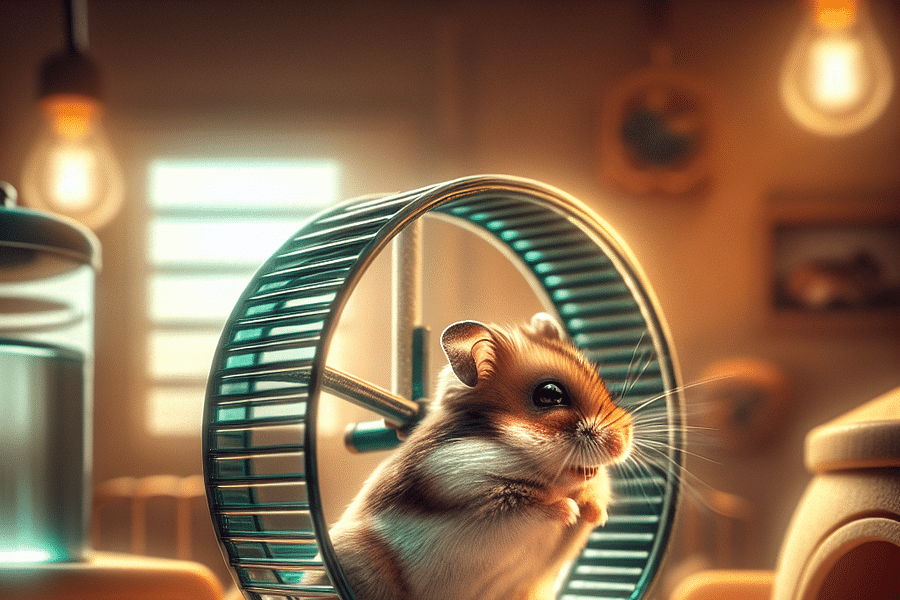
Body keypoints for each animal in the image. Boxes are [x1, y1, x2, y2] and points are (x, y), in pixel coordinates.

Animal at [328, 312, 634, 600]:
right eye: (550, 394)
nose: (623, 442)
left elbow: (595, 488)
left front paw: (595, 513)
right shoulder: (474, 494)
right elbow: (530, 505)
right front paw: (570, 510)